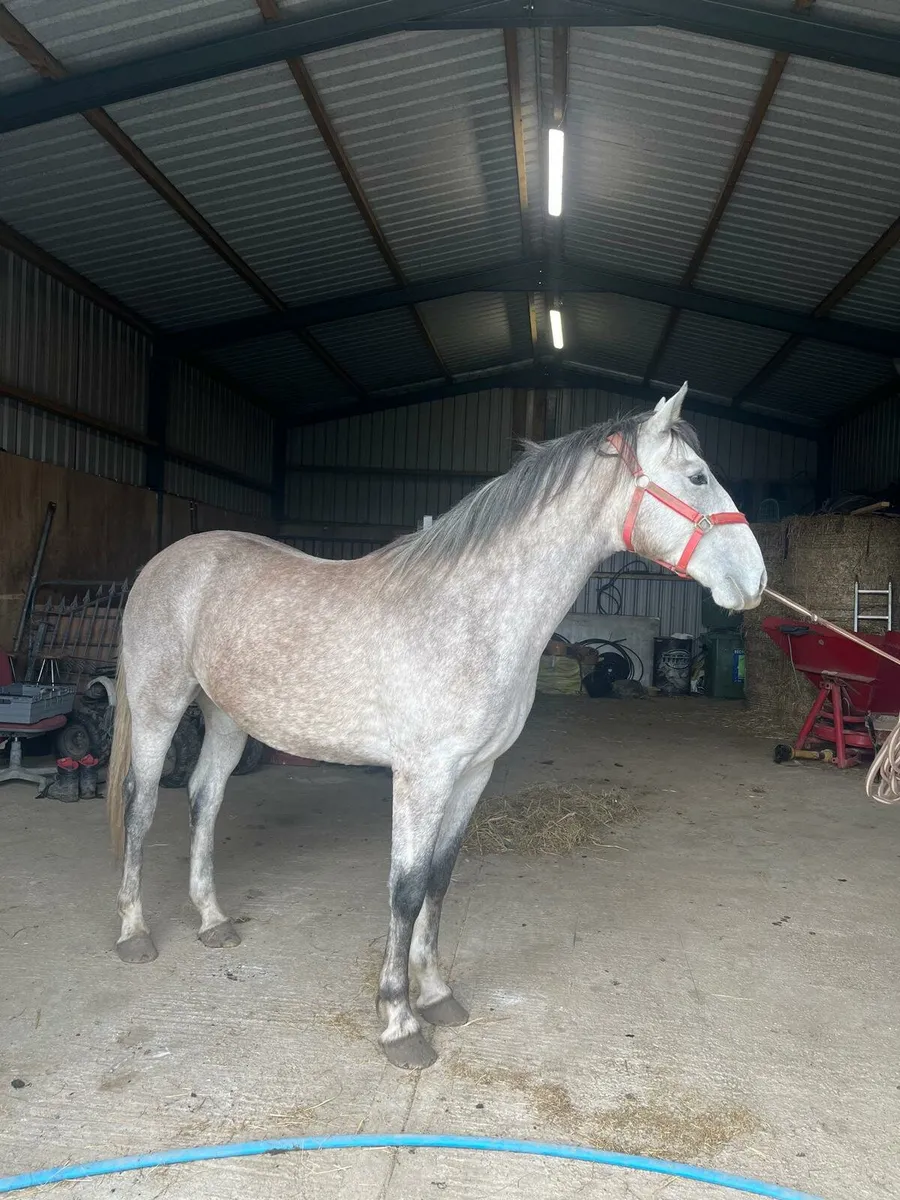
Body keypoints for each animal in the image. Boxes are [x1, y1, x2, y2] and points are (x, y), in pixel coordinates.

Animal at [106, 383, 766, 1070]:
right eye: (697, 476)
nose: (756, 581)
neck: (472, 613)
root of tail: (165, 561)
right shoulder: (422, 776)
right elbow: (406, 887)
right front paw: (399, 1022)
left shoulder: (473, 773)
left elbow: (439, 881)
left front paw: (436, 995)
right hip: (158, 707)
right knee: (141, 805)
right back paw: (134, 933)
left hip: (227, 718)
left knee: (204, 800)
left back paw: (212, 920)